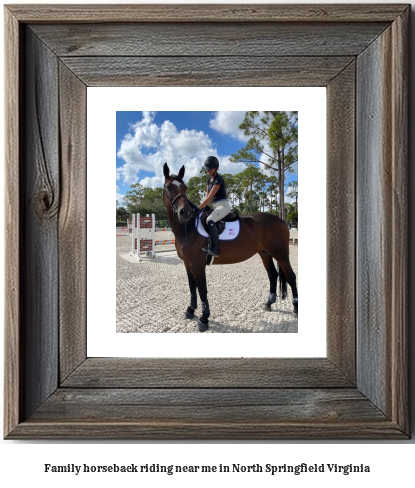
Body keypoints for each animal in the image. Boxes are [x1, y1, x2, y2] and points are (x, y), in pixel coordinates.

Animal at [163, 164, 300, 332]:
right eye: (168, 187)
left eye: (184, 187)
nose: (185, 212)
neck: (187, 227)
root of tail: (281, 221)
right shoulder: (187, 263)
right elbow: (192, 287)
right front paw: (190, 310)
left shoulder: (197, 264)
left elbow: (202, 289)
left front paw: (204, 318)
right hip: (265, 253)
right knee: (273, 275)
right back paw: (268, 304)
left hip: (281, 254)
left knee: (291, 276)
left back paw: (295, 309)